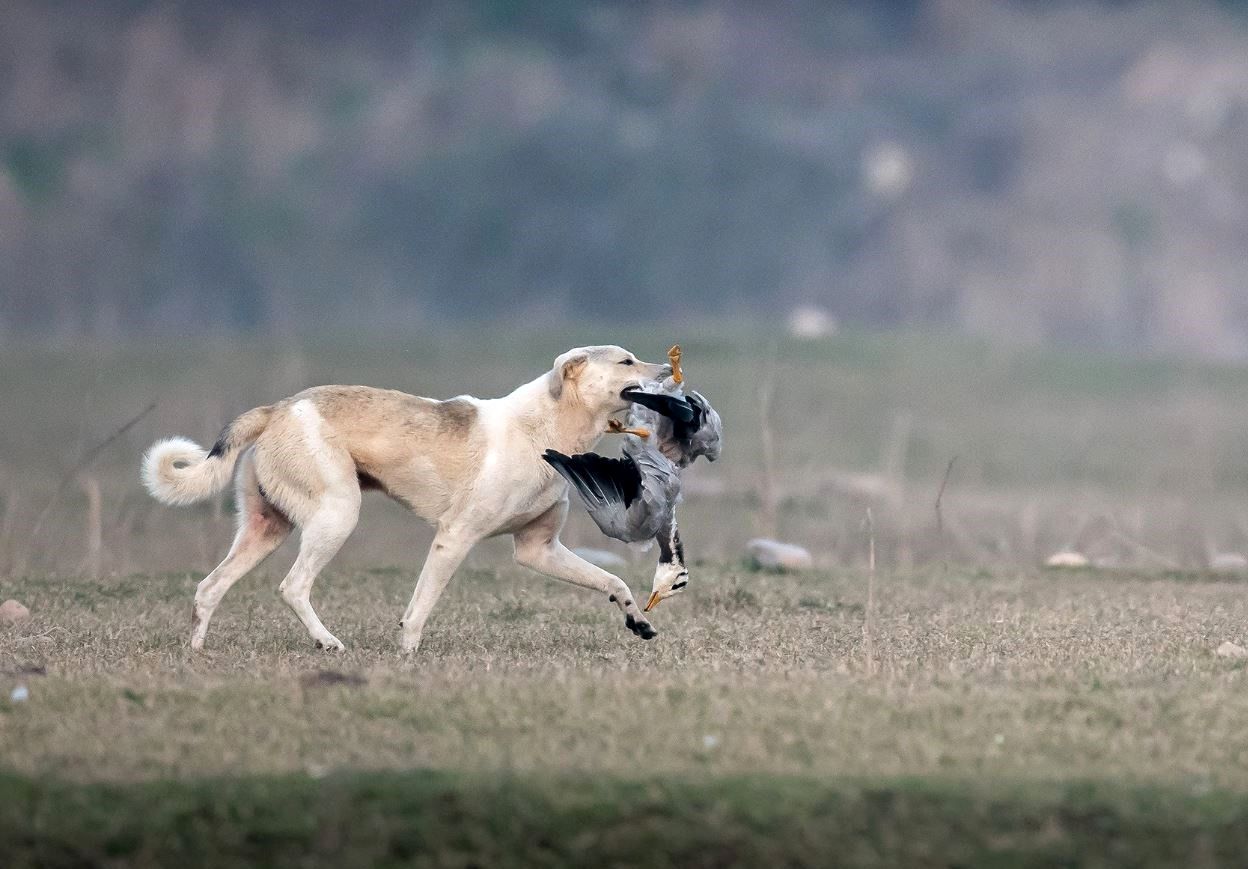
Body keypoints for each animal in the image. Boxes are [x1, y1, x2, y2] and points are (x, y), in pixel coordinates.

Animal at [139, 347, 673, 649]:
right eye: (626, 361)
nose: (669, 368)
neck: (546, 429)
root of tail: (279, 408)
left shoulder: (538, 550)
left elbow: (612, 581)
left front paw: (638, 623)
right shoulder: (454, 538)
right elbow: (419, 609)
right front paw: (408, 658)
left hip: (265, 529)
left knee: (208, 588)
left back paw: (197, 653)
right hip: (337, 515)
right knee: (292, 586)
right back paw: (328, 644)